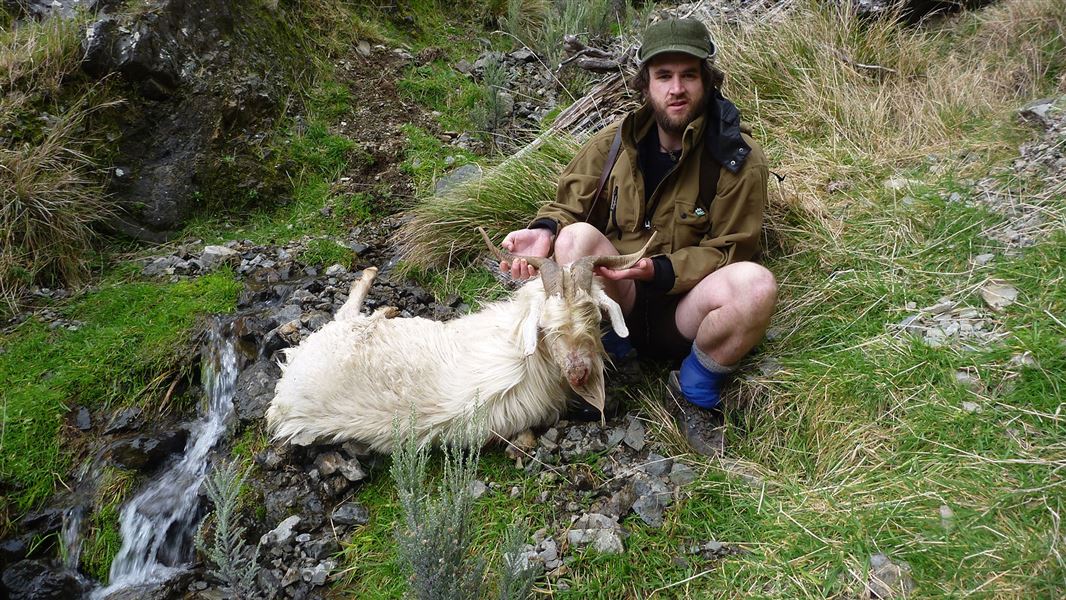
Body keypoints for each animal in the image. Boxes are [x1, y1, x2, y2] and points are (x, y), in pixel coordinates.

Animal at [263, 230, 652, 451]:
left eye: (594, 316)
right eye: (545, 325)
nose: (578, 374)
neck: (527, 353)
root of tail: (283, 396)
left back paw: (382, 300)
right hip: (341, 334)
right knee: (348, 311)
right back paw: (379, 291)